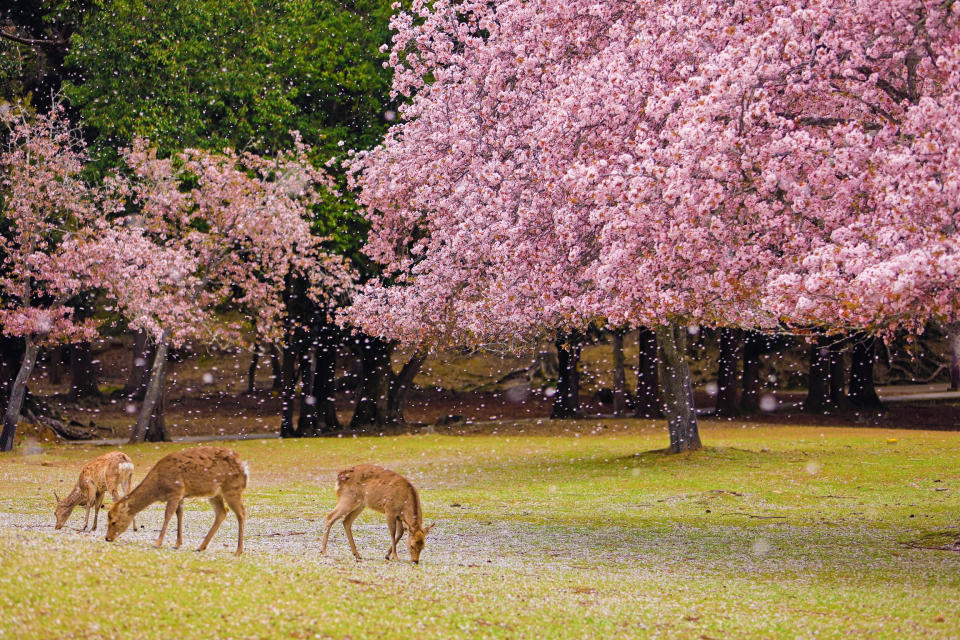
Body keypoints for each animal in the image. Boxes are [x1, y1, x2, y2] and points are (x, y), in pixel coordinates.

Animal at [105, 444, 248, 556]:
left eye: (113, 521)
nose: (107, 538)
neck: (158, 487)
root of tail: (244, 466)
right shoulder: (181, 495)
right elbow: (179, 514)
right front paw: (177, 544)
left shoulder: (175, 490)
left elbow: (168, 515)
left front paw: (157, 542)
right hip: (214, 494)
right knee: (222, 512)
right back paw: (201, 547)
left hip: (232, 488)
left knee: (241, 512)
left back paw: (238, 551)